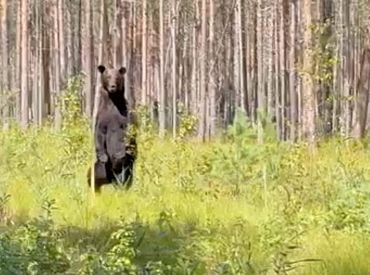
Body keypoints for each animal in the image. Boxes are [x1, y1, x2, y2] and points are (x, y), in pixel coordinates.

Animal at [86, 65, 137, 194]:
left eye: (117, 77)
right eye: (108, 76)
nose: (112, 86)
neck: (113, 102)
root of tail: (110, 179)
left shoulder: (125, 115)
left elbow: (128, 132)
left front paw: (119, 154)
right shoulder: (102, 117)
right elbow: (99, 134)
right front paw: (103, 155)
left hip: (127, 167)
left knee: (124, 179)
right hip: (100, 168)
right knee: (93, 175)